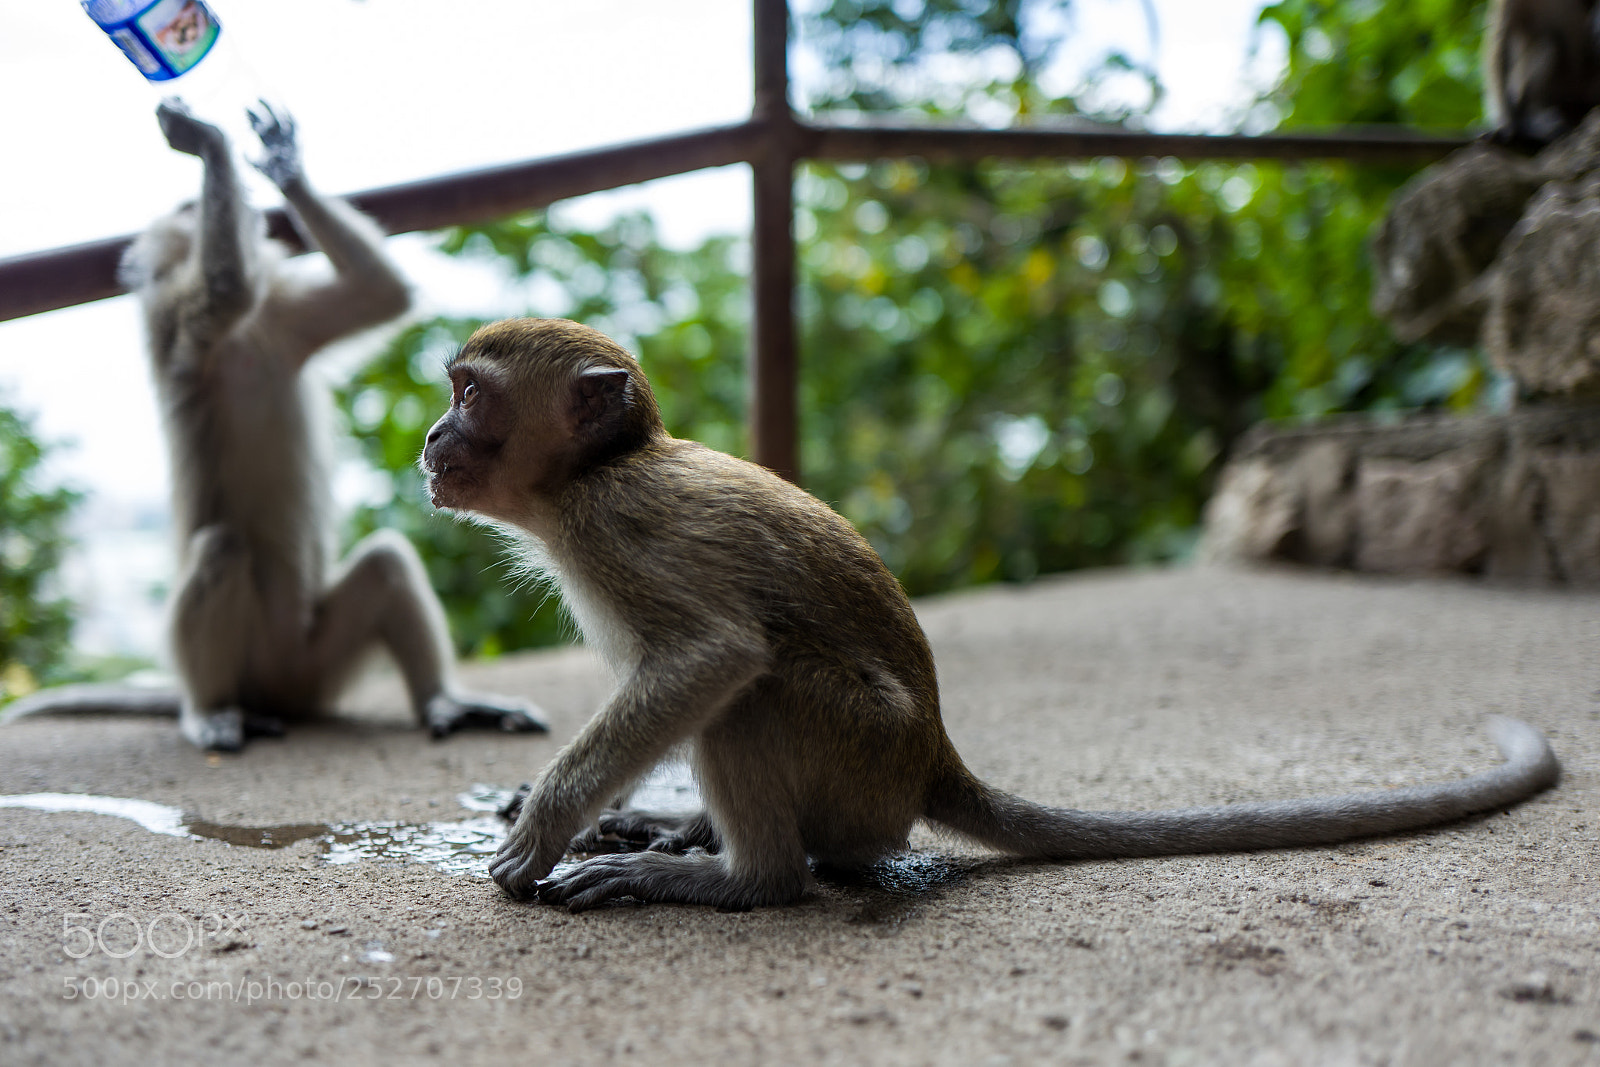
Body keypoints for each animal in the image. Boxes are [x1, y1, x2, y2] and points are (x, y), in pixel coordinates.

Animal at [3, 101, 545, 752]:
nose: (202, 204)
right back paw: (211, 711)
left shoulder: (285, 319)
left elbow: (378, 293)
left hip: (316, 662)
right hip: (254, 664)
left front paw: (282, 164)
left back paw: (446, 700)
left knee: (385, 562)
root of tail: (282, 693)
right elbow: (227, 289)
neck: (249, 337)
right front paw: (205, 142)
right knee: (221, 548)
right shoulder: (174, 321)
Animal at [419, 318, 1560, 912]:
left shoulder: (621, 526)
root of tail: (931, 759)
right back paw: (686, 834)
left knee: (760, 689)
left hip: (857, 753)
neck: (587, 480)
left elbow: (714, 655)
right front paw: (620, 810)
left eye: (470, 395)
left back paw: (743, 880)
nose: (431, 437)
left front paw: (545, 828)